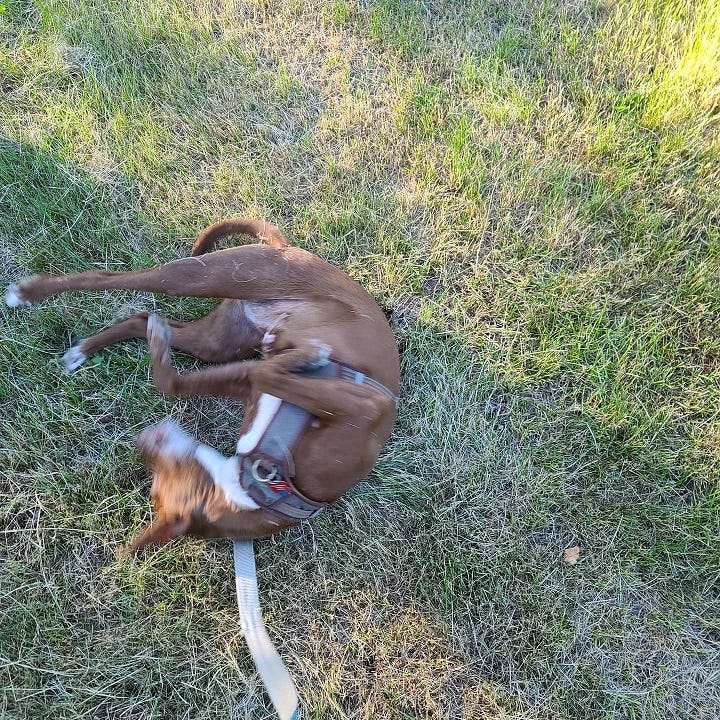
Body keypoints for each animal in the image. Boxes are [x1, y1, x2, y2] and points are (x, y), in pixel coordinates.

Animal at [4, 219, 400, 552]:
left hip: (216, 339)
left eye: (160, 473)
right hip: (208, 279)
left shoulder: (345, 403)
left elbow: (176, 382)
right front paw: (306, 354)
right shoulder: (349, 403)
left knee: (142, 317)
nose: (144, 439)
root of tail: (290, 248)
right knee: (108, 277)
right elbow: (260, 371)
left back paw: (85, 347)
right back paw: (28, 294)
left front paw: (301, 354)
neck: (260, 482)